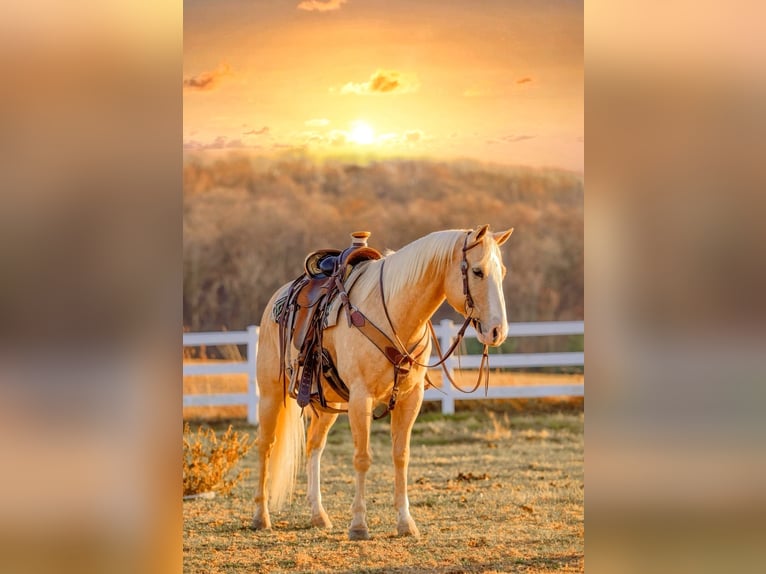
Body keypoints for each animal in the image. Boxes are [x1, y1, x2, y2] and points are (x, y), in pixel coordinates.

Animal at [254, 225, 516, 540]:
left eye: (502, 272)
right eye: (477, 271)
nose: (498, 331)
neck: (395, 315)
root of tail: (277, 298)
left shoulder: (410, 399)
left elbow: (401, 456)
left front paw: (406, 523)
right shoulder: (361, 397)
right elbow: (362, 457)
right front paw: (358, 525)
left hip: (329, 402)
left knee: (314, 446)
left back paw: (318, 515)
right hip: (270, 395)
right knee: (265, 446)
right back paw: (261, 516)